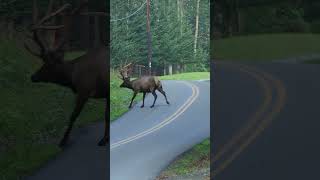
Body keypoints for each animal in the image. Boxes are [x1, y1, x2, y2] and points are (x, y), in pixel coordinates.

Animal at [23, 0, 109, 148]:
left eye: (47, 65)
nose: (33, 76)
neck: (73, 76)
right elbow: (107, 115)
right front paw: (106, 138)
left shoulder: (84, 89)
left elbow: (73, 115)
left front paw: (63, 140)